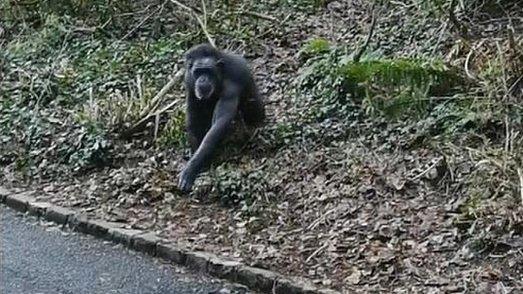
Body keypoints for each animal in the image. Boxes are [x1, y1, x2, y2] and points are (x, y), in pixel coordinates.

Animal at [179, 42, 266, 192]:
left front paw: (191, 167)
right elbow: (193, 116)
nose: (202, 79)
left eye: (208, 71)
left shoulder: (234, 79)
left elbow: (220, 122)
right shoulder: (189, 80)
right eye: (198, 72)